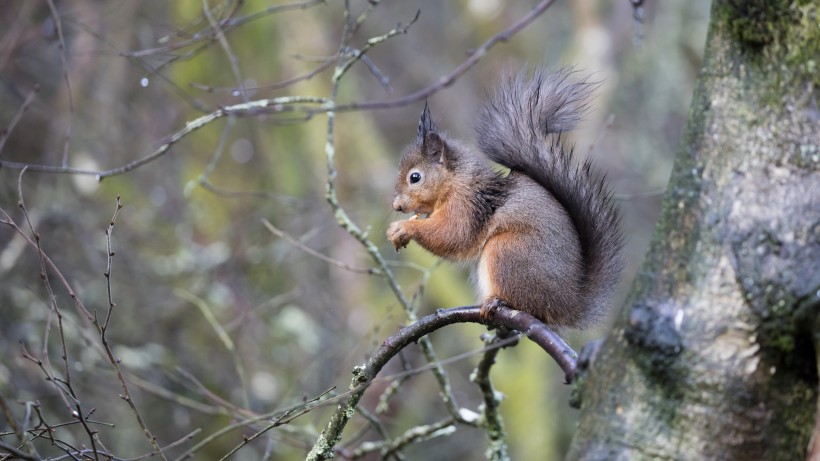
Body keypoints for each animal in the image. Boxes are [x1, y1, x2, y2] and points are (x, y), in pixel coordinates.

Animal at [388, 68, 624, 328]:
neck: (455, 182)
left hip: (508, 251)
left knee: (527, 303)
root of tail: (567, 305)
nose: (396, 206)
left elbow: (454, 235)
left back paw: (498, 302)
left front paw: (404, 228)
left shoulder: (467, 205)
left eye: (415, 177)